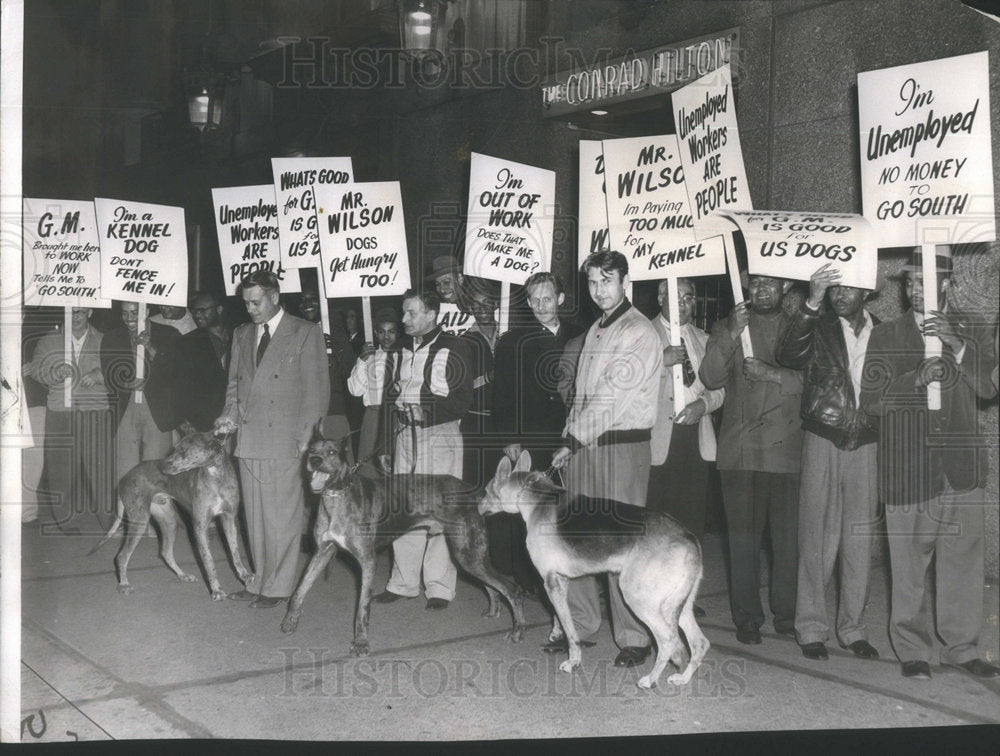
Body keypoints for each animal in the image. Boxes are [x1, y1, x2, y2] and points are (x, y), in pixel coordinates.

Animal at [280, 432, 528, 656]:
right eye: (312, 450)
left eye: (332, 452)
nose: (315, 461)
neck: (338, 494)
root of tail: (474, 493)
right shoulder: (322, 552)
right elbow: (300, 588)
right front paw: (290, 620)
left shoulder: (367, 562)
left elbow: (362, 607)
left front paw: (361, 643)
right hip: (470, 554)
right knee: (492, 585)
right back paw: (493, 610)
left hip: (467, 553)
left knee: (511, 588)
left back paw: (517, 631)